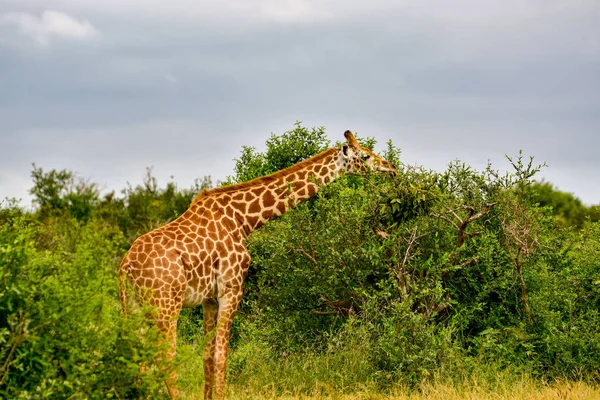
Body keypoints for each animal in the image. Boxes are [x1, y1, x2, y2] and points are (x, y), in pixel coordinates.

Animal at [119, 130, 396, 398]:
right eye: (366, 156)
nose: (391, 168)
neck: (244, 220)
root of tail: (126, 268)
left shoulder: (209, 299)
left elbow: (207, 356)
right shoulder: (231, 290)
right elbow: (221, 356)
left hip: (133, 306)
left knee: (136, 358)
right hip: (165, 306)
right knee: (165, 357)